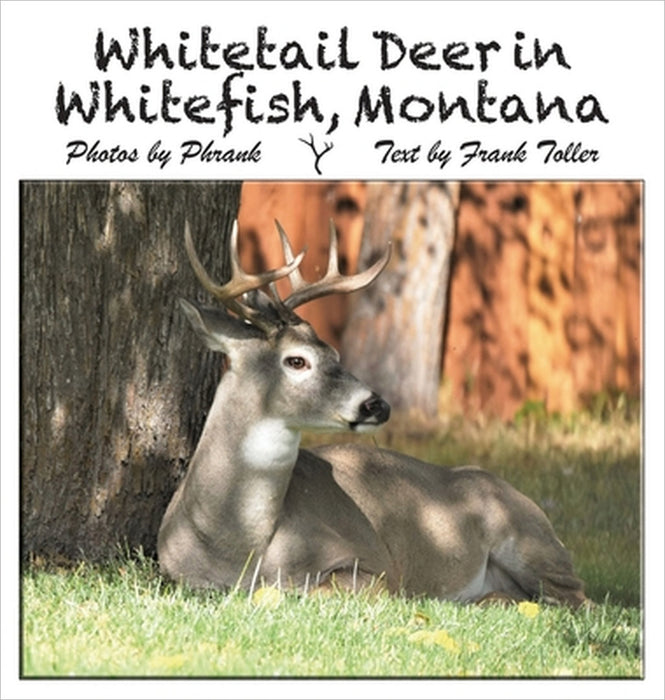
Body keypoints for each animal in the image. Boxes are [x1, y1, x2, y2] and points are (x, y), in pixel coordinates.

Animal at [157, 219, 588, 608]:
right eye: (297, 360)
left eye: (335, 353)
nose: (377, 404)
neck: (234, 545)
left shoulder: (376, 567)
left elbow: (307, 590)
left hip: (531, 542)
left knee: (577, 598)